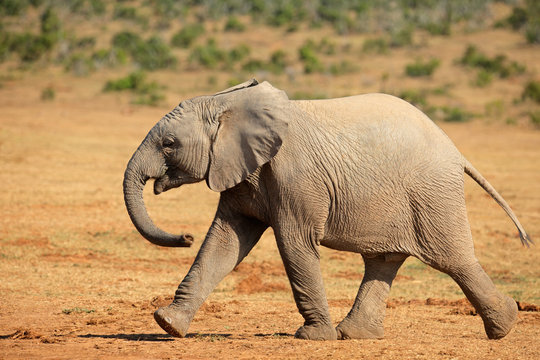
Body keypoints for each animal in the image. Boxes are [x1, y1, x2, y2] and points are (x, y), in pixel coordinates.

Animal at [123, 78, 532, 340]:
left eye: (169, 144)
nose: (185, 236)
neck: (230, 103)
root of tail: (456, 151)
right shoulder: (242, 170)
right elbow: (224, 244)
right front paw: (167, 324)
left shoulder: (295, 176)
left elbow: (294, 243)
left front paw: (312, 337)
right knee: (384, 260)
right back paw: (355, 335)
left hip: (431, 193)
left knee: (452, 259)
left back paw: (504, 327)